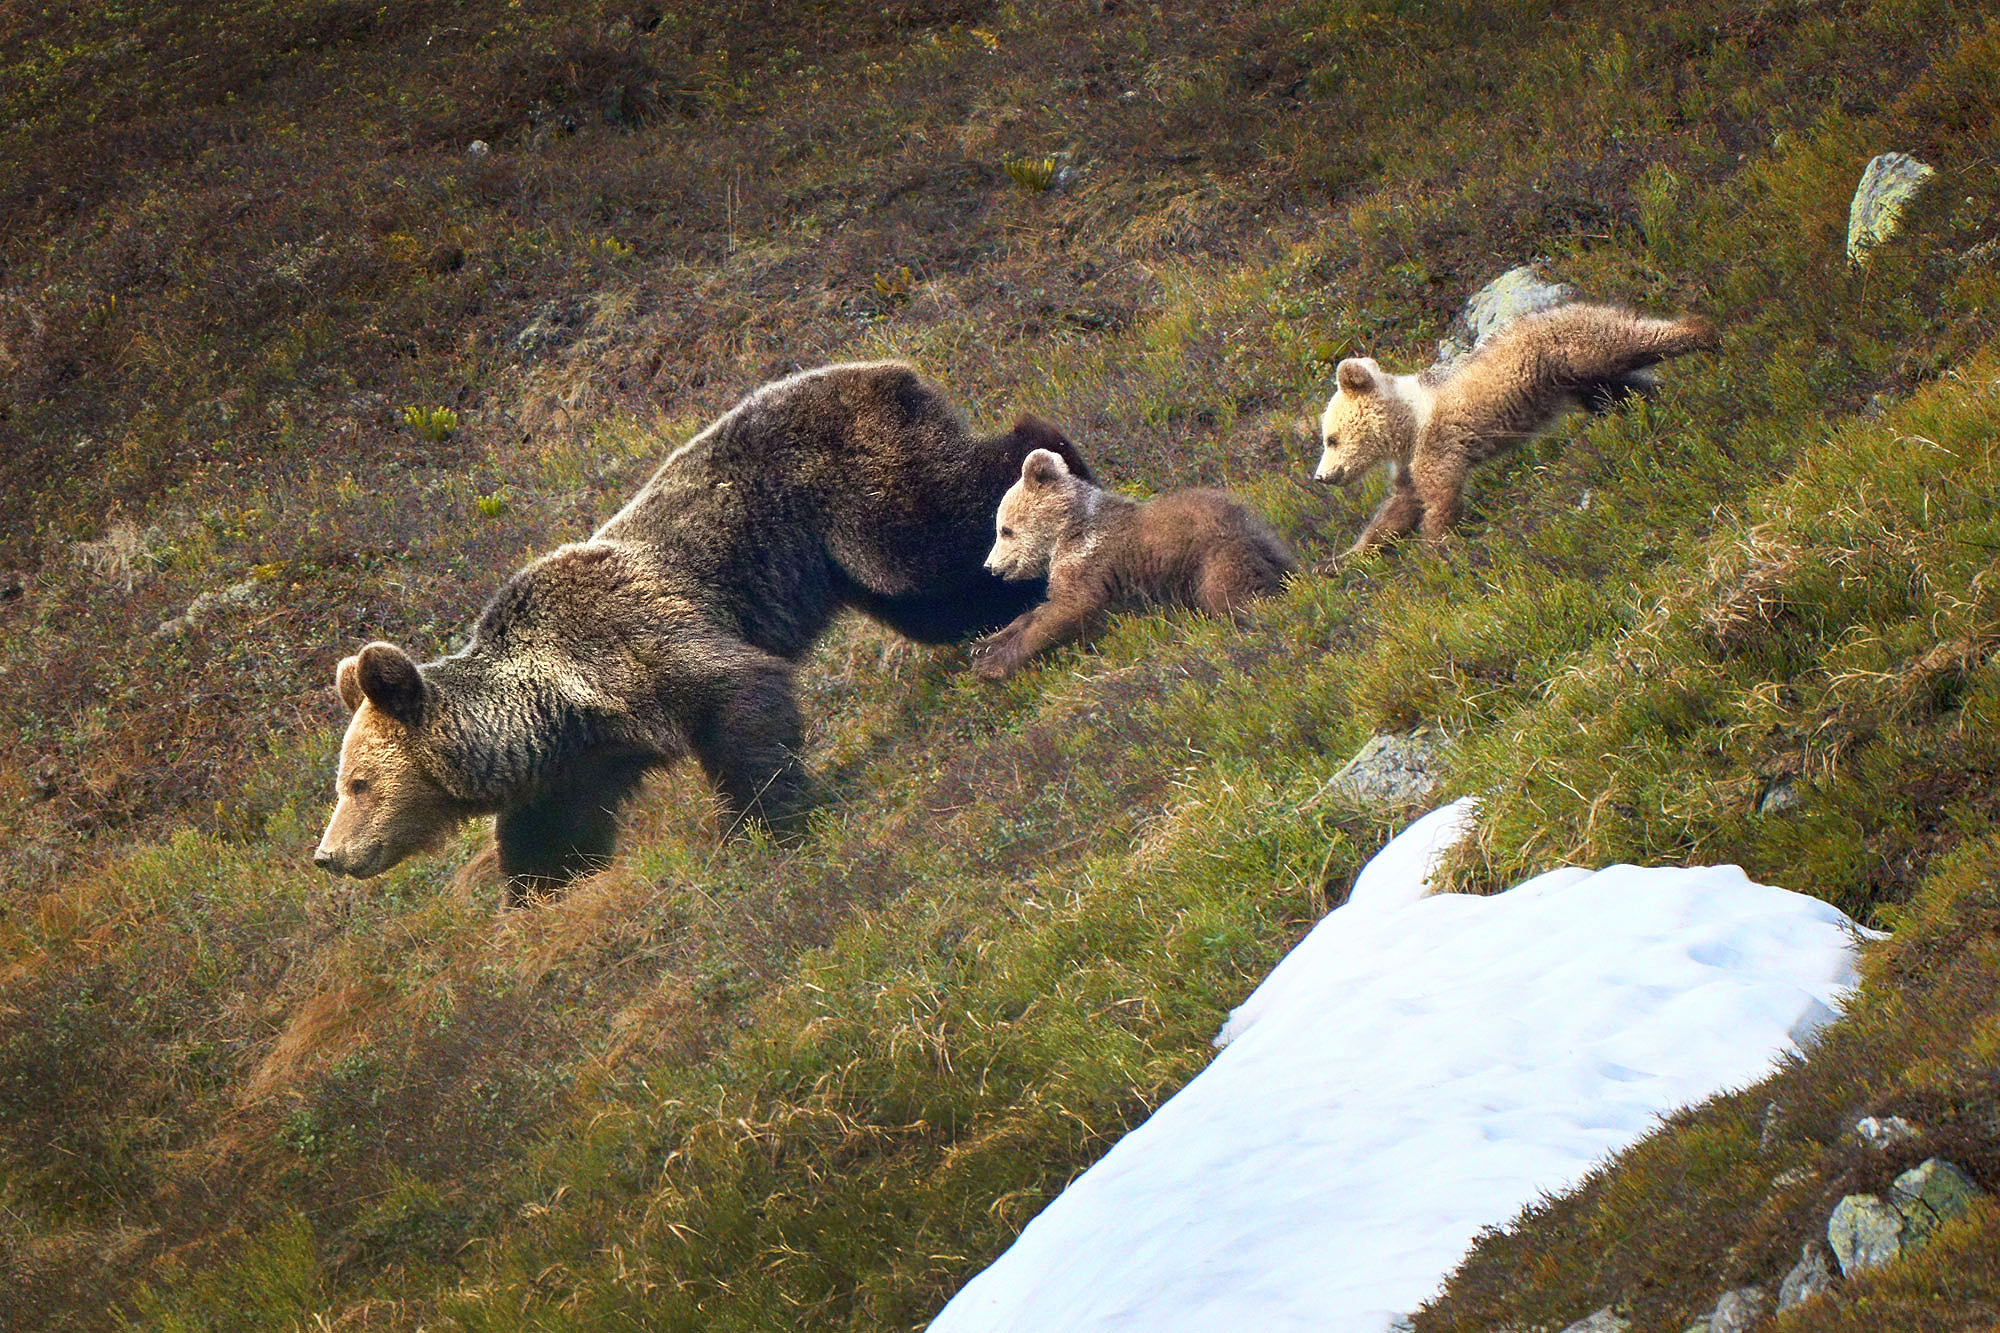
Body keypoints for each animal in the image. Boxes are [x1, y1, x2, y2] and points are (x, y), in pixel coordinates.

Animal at [312, 360, 1096, 904]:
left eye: (357, 783)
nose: (328, 855)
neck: (553, 704)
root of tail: (889, 366)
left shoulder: (635, 646)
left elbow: (739, 698)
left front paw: (762, 823)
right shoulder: (581, 759)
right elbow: (550, 832)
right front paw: (533, 901)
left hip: (852, 487)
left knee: (941, 532)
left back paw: (1050, 463)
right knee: (941, 598)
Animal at [972, 448, 1296, 680]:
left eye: (1004, 530)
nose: (989, 566)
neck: (1066, 531)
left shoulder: (1090, 558)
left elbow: (1069, 607)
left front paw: (993, 666)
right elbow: (1039, 611)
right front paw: (985, 643)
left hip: (1213, 557)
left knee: (1232, 594)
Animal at [1312, 300, 1720, 548]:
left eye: (1331, 438)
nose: (1321, 476)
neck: (1407, 426)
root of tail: (1559, 306)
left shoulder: (1438, 444)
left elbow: (1439, 495)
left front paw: (1438, 543)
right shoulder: (1408, 466)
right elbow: (1397, 508)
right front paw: (1348, 558)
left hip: (1576, 347)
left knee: (1628, 339)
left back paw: (1703, 333)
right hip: (1575, 379)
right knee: (1619, 391)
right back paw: (1652, 403)